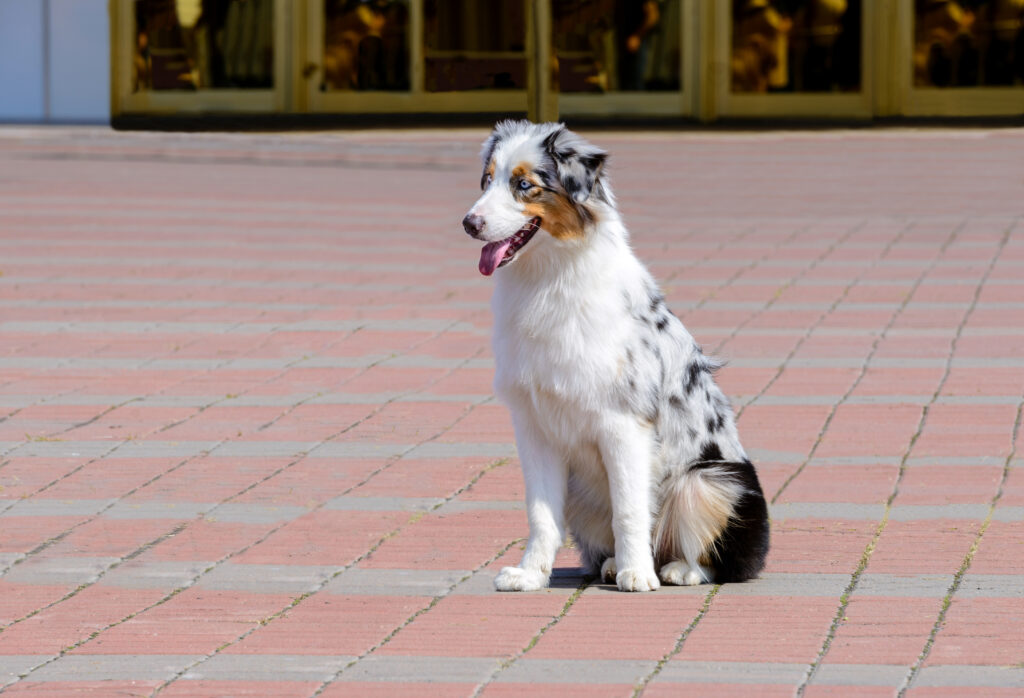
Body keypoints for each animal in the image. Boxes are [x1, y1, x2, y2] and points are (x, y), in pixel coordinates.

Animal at [464, 120, 770, 585]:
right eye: (486, 180)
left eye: (524, 185)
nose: (469, 223)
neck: (549, 279)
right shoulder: (534, 425)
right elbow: (541, 513)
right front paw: (531, 575)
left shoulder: (623, 422)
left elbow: (629, 508)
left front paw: (637, 574)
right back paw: (612, 564)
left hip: (712, 478)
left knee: (721, 557)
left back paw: (675, 569)